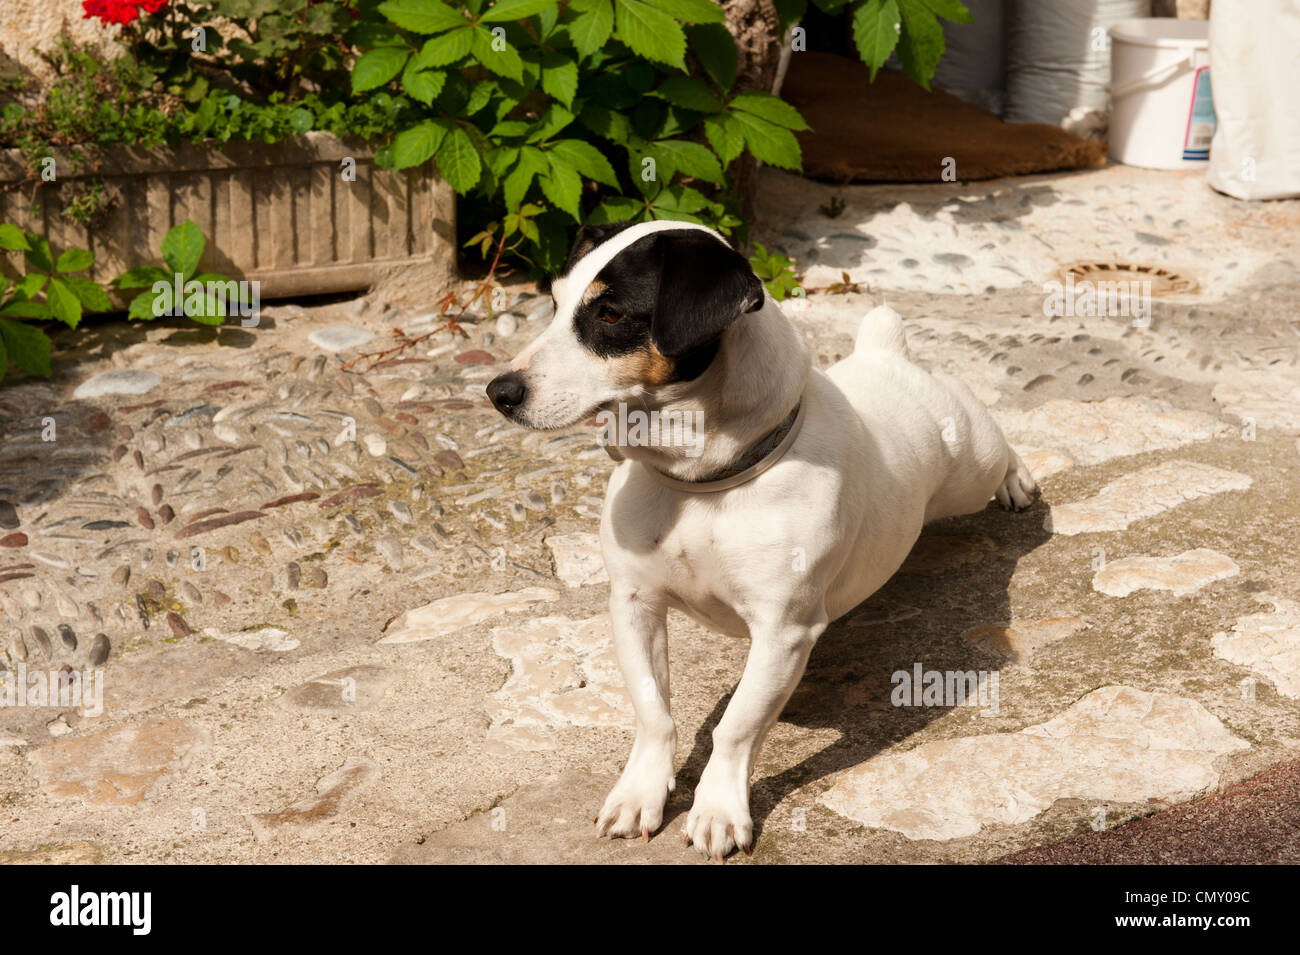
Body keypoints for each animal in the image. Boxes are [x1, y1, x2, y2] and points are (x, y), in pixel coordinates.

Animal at [488, 220, 1034, 862]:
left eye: (611, 313)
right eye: (554, 303)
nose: (499, 391)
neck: (701, 489)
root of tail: (883, 352)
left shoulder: (783, 633)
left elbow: (737, 726)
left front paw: (718, 810)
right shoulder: (634, 604)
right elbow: (653, 711)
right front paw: (639, 794)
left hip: (969, 466)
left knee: (995, 438)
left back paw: (1018, 480)